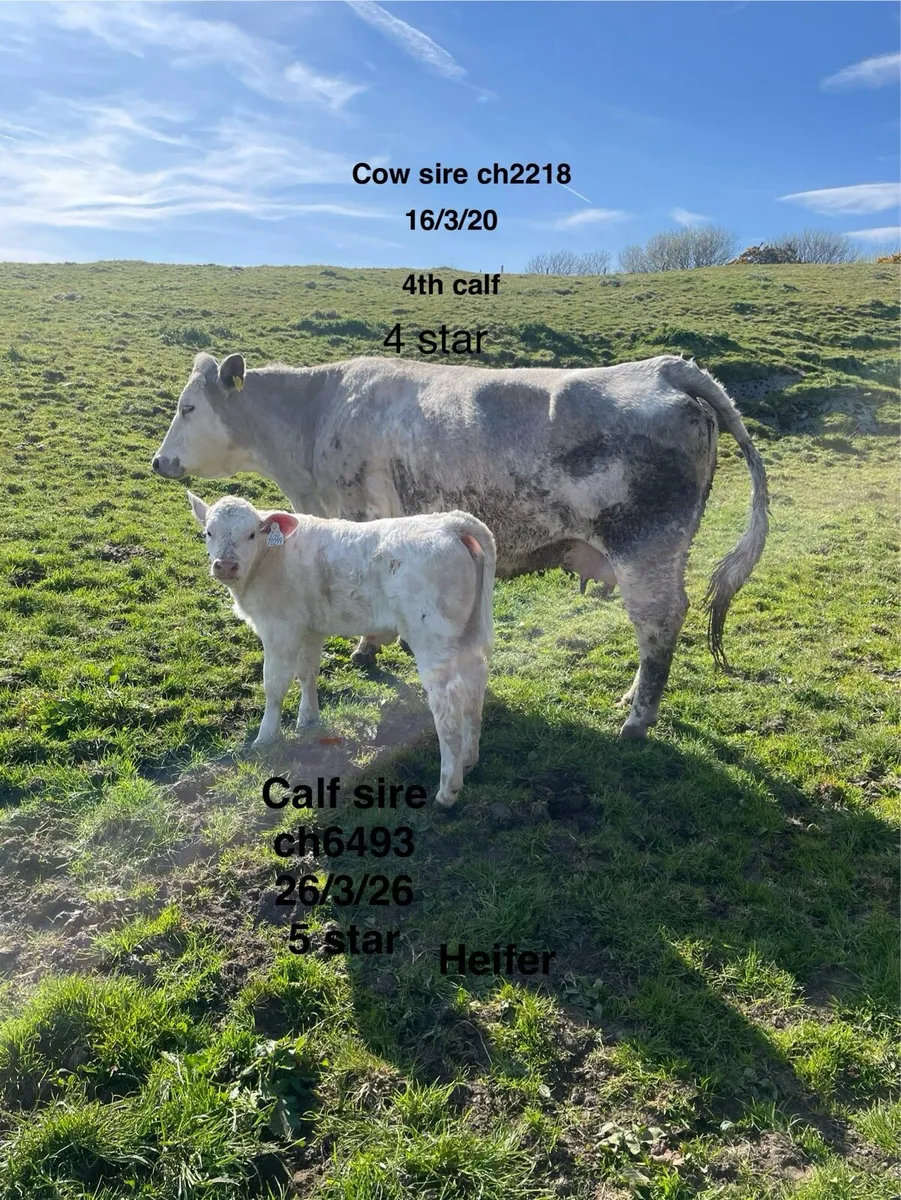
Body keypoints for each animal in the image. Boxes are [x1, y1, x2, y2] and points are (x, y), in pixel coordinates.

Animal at [154, 352, 769, 740]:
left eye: (188, 407)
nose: (159, 461)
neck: (317, 418)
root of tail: (665, 367)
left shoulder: (363, 517)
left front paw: (368, 648)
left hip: (646, 548)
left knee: (659, 621)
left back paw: (637, 720)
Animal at [186, 492, 495, 808]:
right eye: (208, 532)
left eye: (250, 534)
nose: (225, 565)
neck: (271, 558)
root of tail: (451, 522)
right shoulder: (310, 628)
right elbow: (307, 672)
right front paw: (307, 719)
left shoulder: (279, 629)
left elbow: (274, 685)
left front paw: (265, 737)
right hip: (469, 633)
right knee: (475, 683)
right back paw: (469, 759)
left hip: (432, 636)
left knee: (448, 699)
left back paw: (447, 791)